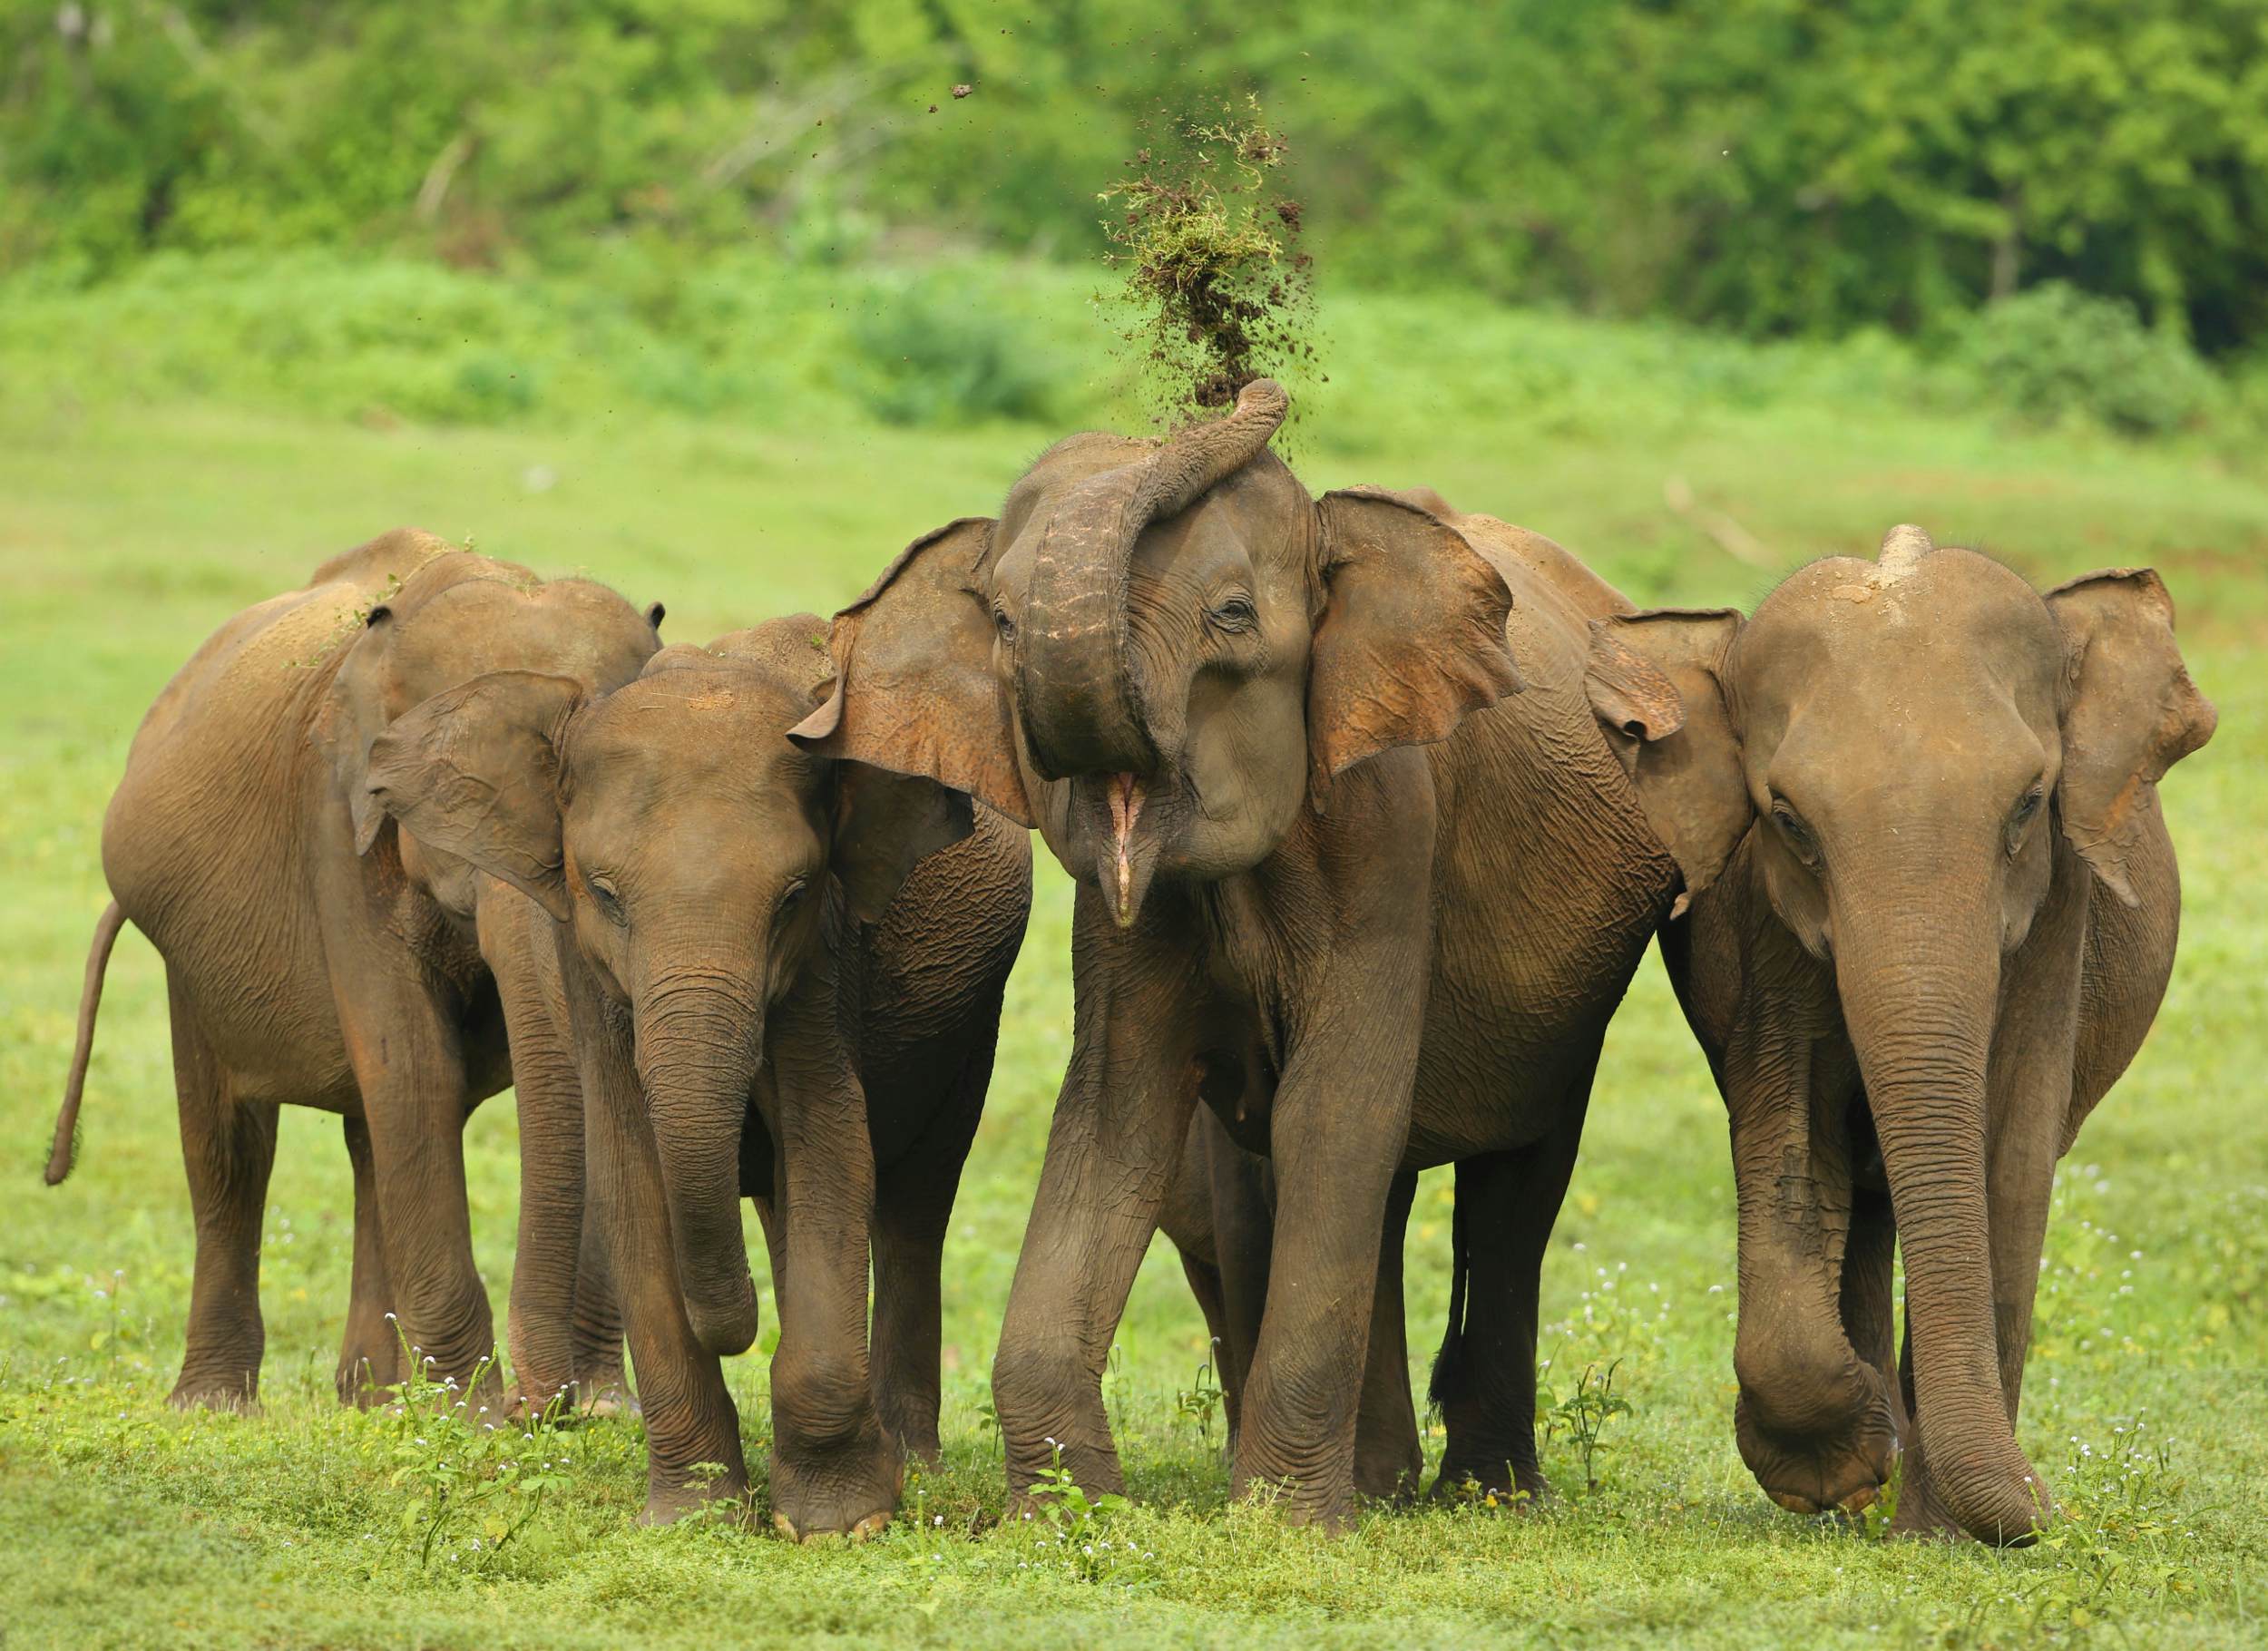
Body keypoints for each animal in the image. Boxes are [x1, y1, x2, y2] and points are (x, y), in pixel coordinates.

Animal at [46, 530, 663, 1413]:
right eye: (445, 801)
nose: (542, 1406)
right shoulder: (335, 820)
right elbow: (412, 1066)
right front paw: (476, 1417)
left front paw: (595, 1411)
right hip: (188, 956)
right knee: (231, 1145)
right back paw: (219, 1406)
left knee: (370, 1138)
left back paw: (371, 1397)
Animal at [359, 616, 1034, 1535]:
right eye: (605, 894)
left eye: (792, 896)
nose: (737, 1328)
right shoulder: (589, 970)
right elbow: (632, 1171)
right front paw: (696, 1517)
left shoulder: (826, 960)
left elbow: (831, 1143)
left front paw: (837, 1525)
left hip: (971, 1019)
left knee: (913, 1206)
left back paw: (910, 1466)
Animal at [791, 379, 1689, 1526]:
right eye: (998, 620)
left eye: (1231, 616)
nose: (1242, 386)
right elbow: (1117, 1112)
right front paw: (1073, 1512)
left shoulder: (1389, 831)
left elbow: (1333, 1107)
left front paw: (1284, 1522)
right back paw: (1382, 1483)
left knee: (1511, 1188)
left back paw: (1485, 1494)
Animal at [1584, 525, 2215, 1543]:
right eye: (1789, 820)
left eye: (2029, 803)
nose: (2051, 1507)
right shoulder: (1762, 921)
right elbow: (1791, 1135)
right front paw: (1841, 1465)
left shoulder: (2057, 918)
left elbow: (2008, 1159)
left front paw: (1942, 1532)